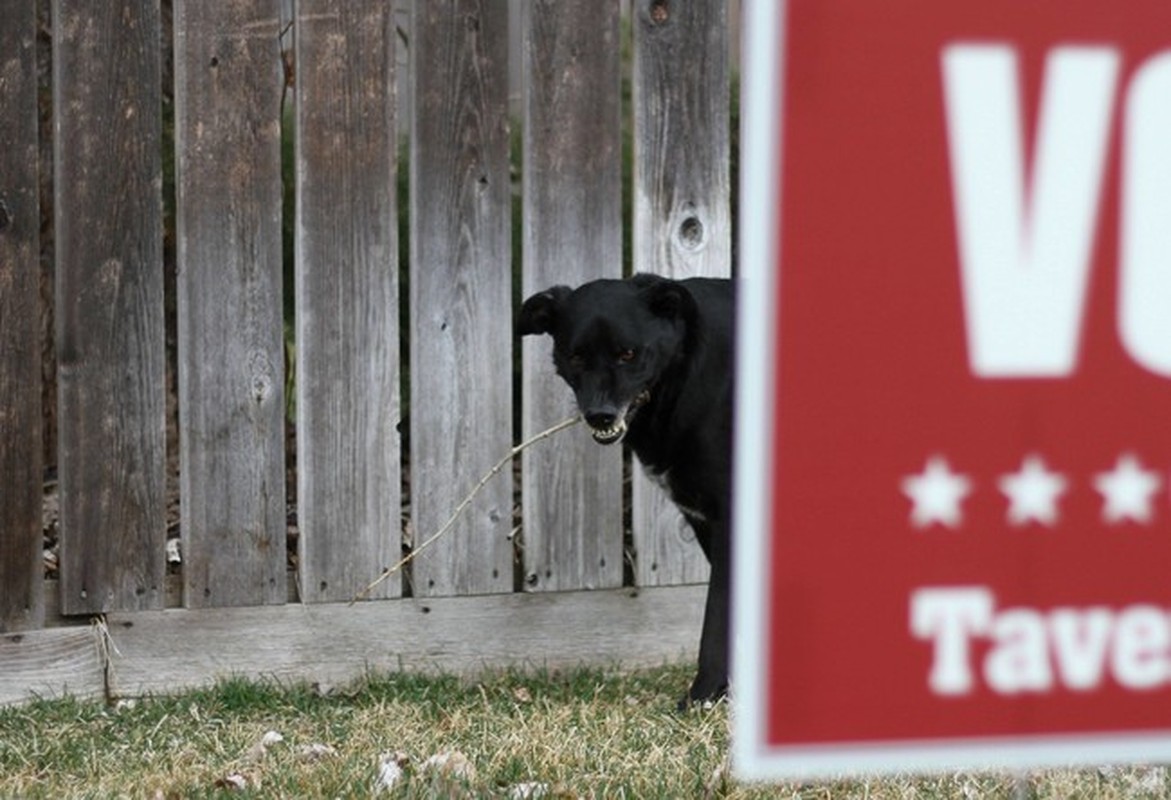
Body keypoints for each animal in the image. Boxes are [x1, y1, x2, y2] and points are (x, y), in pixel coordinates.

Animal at [519, 274, 730, 707]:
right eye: (575, 356)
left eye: (629, 354)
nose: (600, 415)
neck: (684, 371)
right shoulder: (705, 520)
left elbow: (716, 617)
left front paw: (702, 694)